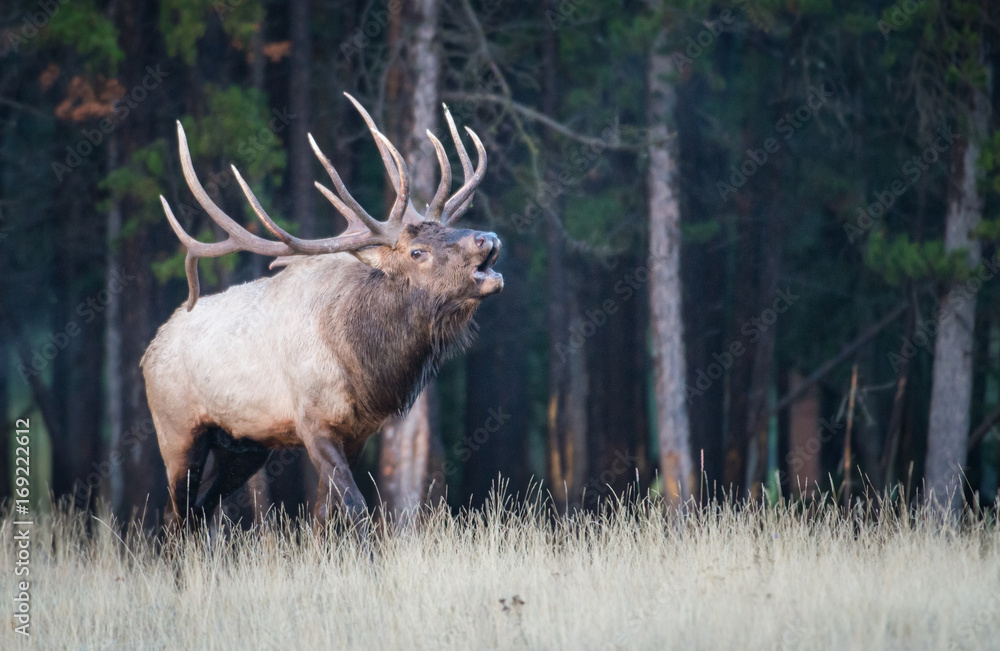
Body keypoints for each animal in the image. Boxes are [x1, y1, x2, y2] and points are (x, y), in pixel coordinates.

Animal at [141, 95, 500, 536]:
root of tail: (148, 352)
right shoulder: (312, 422)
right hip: (176, 431)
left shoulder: (359, 432)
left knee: (202, 511)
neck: (364, 365)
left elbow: (324, 515)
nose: (488, 237)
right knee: (177, 515)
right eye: (418, 252)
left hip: (241, 446)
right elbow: (356, 506)